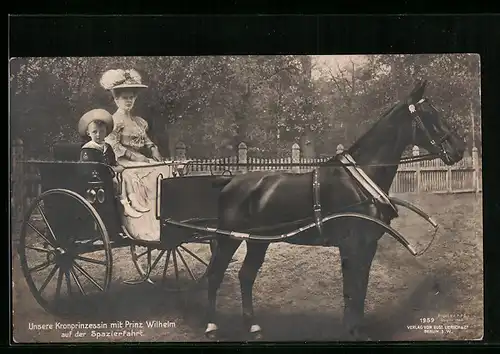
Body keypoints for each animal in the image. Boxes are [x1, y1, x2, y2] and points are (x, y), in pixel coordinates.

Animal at [202, 80, 464, 340]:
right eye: (428, 113)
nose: (459, 150)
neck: (359, 182)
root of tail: (230, 182)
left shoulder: (368, 246)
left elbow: (361, 288)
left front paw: (357, 329)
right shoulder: (351, 246)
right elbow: (351, 289)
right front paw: (351, 331)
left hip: (258, 241)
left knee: (245, 276)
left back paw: (253, 327)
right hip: (228, 240)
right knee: (215, 276)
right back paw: (212, 326)